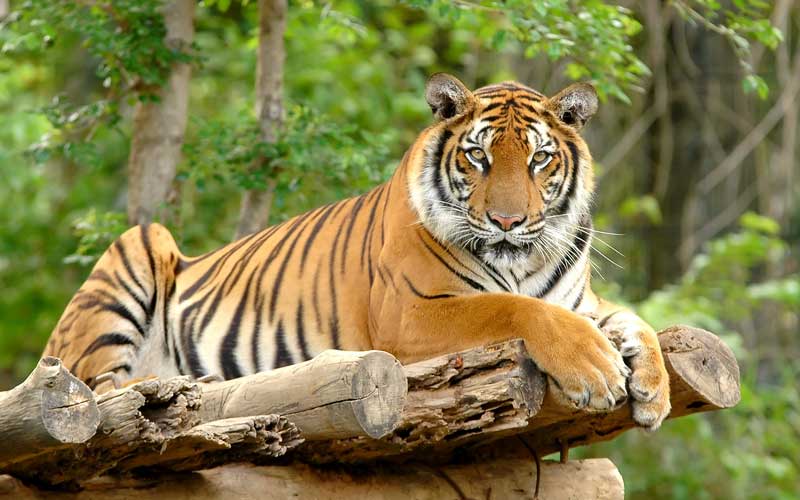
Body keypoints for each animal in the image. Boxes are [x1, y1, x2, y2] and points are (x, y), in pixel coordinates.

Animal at [44, 73, 671, 429]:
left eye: (540, 159)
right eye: (479, 157)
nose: (508, 221)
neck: (522, 261)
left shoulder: (582, 302)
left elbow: (635, 321)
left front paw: (655, 388)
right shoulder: (411, 314)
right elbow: (514, 308)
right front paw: (596, 370)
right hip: (138, 249)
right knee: (98, 388)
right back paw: (183, 385)